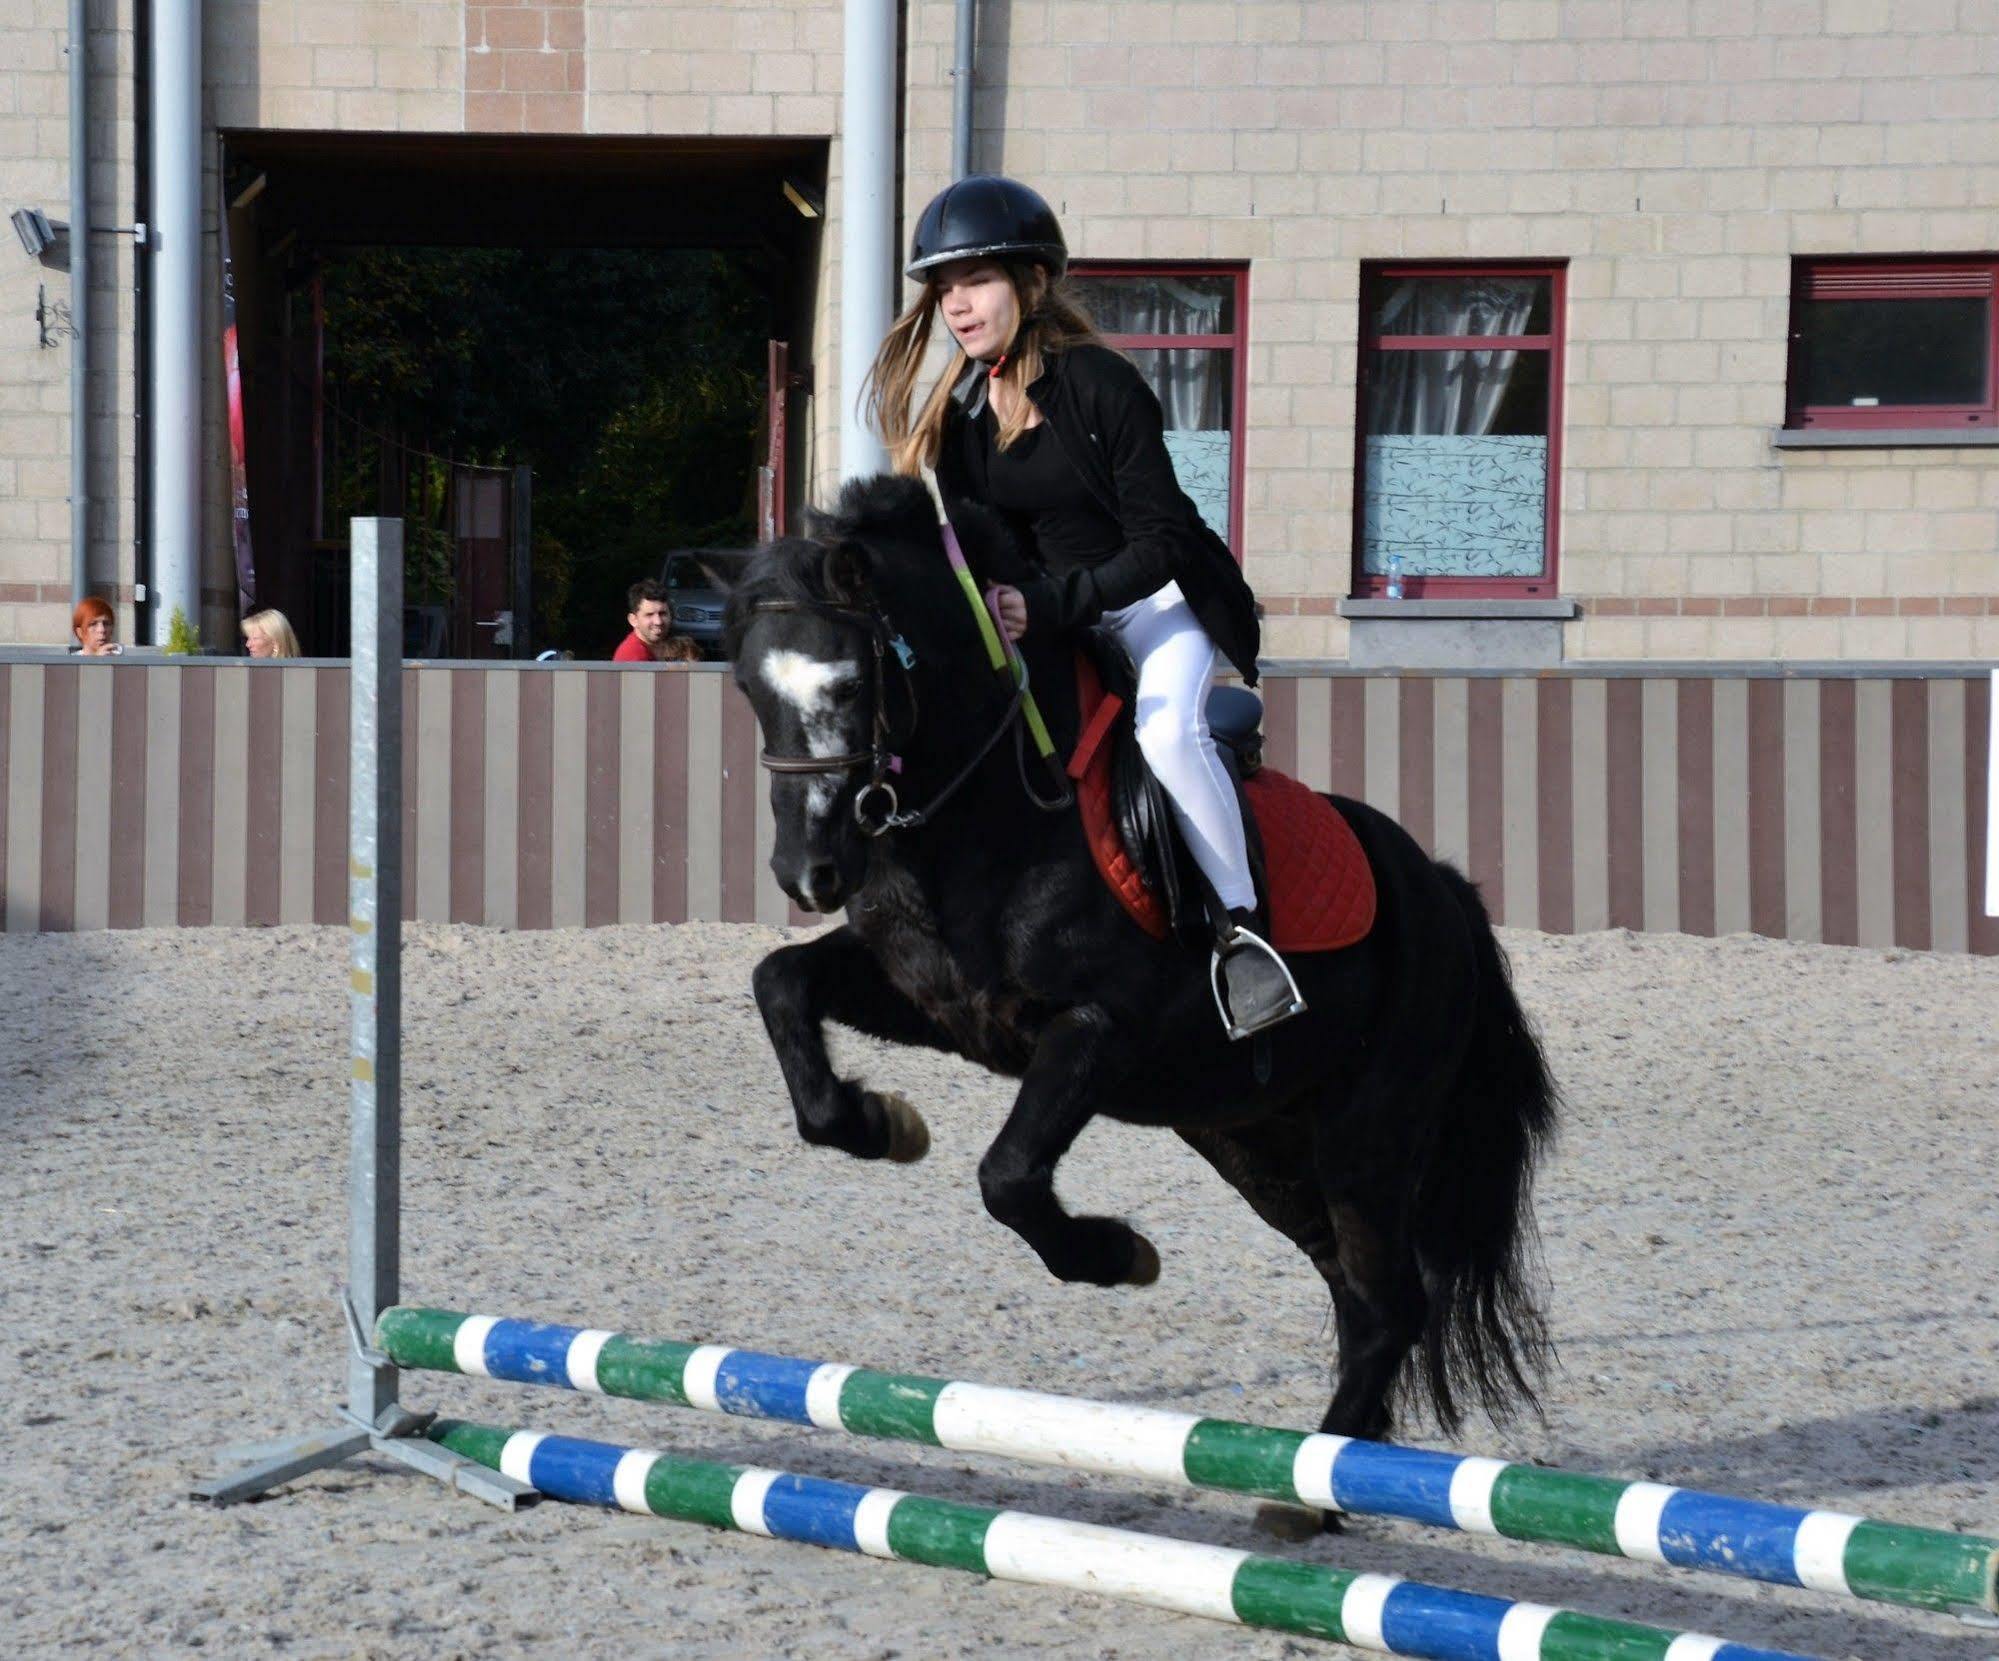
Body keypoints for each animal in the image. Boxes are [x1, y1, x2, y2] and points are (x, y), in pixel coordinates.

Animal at [723, 473, 1559, 1463]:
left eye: (850, 683)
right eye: (748, 687)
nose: (807, 871)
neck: (991, 810)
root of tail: (1439, 888)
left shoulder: (1095, 1031)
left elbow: (1008, 1176)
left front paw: (1115, 1254)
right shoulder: (932, 999)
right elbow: (781, 986)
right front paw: (880, 1122)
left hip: (1369, 1133)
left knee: (1387, 1303)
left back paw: (1307, 1482)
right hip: (1252, 1133)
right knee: (1356, 1291)